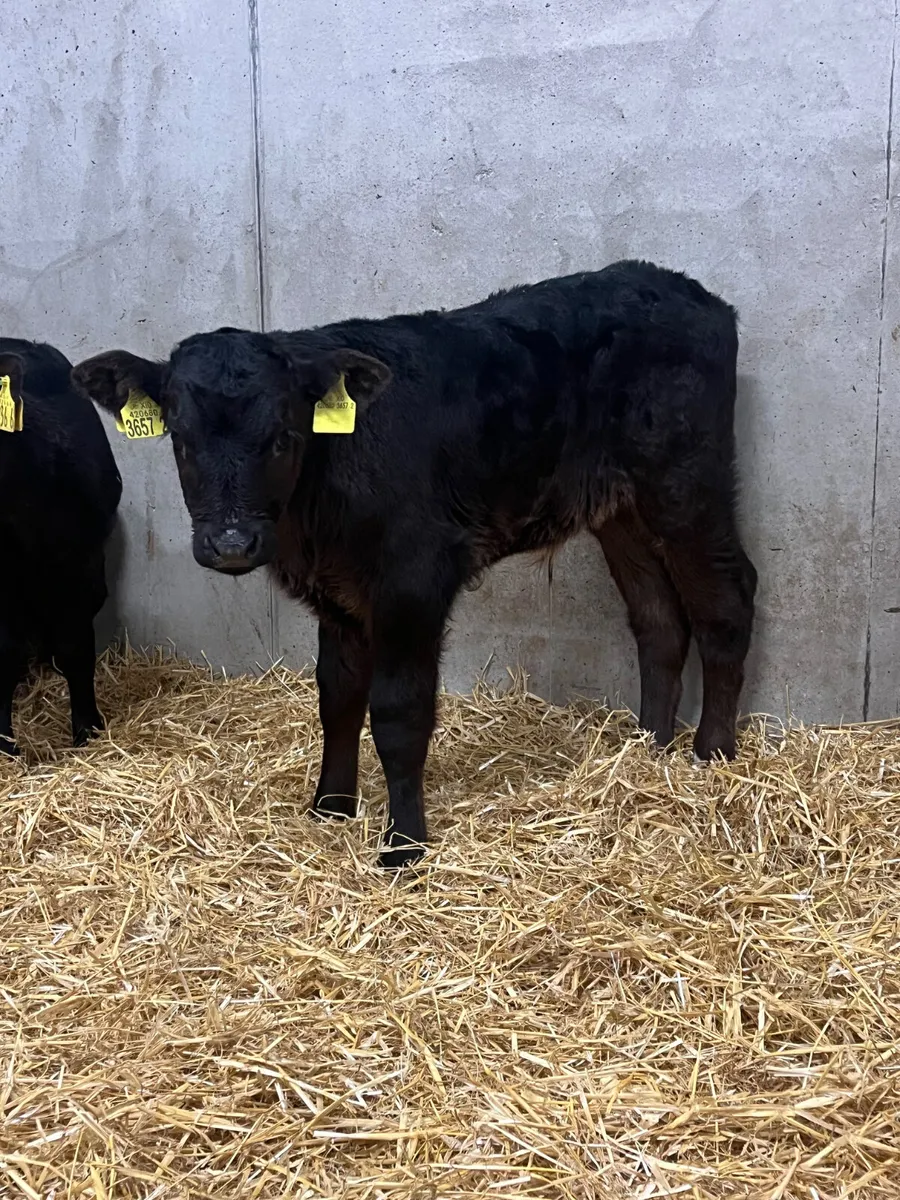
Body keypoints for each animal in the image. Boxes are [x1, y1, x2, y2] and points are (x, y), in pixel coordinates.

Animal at [72, 261, 757, 868]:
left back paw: (711, 754)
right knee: (659, 618)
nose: (233, 543)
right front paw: (330, 807)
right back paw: (648, 751)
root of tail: (689, 291)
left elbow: (399, 714)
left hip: (687, 482)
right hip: (619, 508)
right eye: (182, 441)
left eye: (284, 437)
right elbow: (337, 696)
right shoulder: (339, 594)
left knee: (727, 599)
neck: (315, 516)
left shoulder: (413, 581)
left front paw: (403, 846)